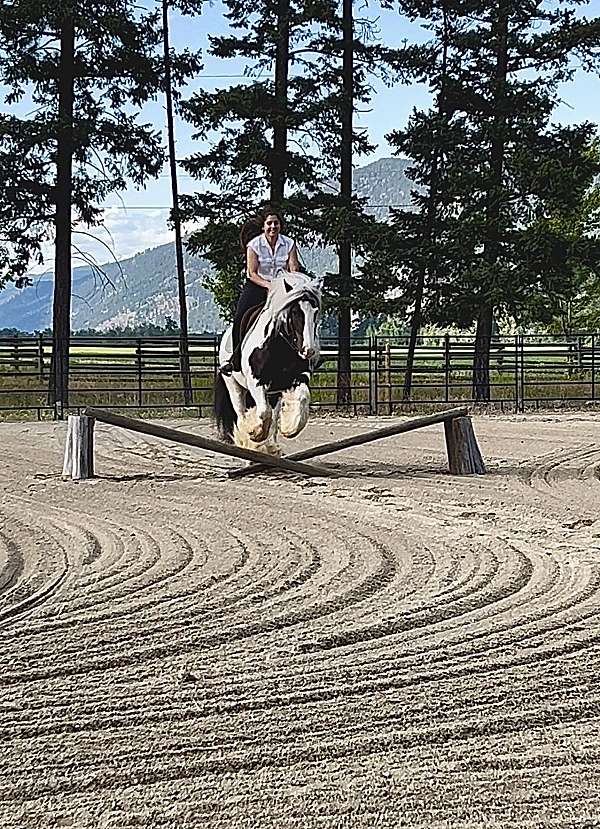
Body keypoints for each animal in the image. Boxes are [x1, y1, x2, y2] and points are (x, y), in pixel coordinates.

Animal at [214, 270, 322, 452]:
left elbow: (301, 398)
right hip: (233, 384)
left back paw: (271, 445)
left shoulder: (297, 378)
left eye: (315, 312)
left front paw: (290, 428)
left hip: (274, 392)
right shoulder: (256, 382)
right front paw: (256, 434)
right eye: (295, 312)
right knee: (241, 413)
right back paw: (246, 439)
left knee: (273, 415)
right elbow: (264, 412)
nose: (309, 351)